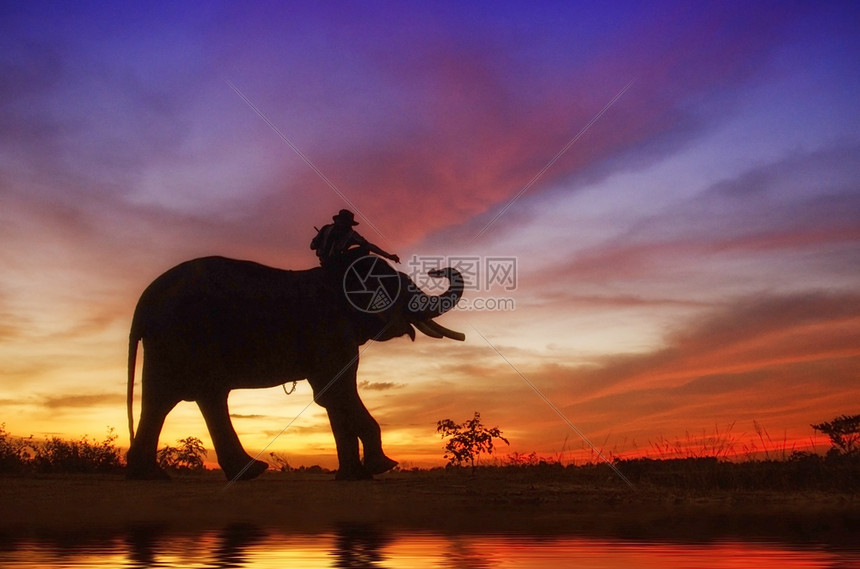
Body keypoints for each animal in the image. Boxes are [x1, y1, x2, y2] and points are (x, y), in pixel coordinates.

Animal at [126, 253, 464, 480]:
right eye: (403, 289)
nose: (435, 269)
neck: (340, 277)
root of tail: (143, 301)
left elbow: (331, 396)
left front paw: (353, 477)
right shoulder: (327, 329)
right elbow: (337, 390)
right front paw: (381, 466)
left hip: (169, 340)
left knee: (166, 398)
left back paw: (150, 475)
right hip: (184, 333)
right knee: (193, 395)